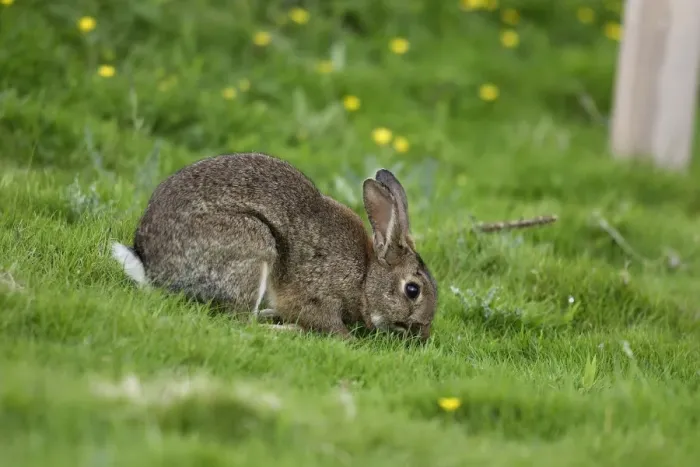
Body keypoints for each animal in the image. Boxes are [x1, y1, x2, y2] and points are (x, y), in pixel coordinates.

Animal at [111, 152, 438, 341]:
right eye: (413, 290)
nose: (423, 331)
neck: (366, 277)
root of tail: (154, 272)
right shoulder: (319, 296)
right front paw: (347, 338)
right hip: (253, 247)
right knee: (241, 322)